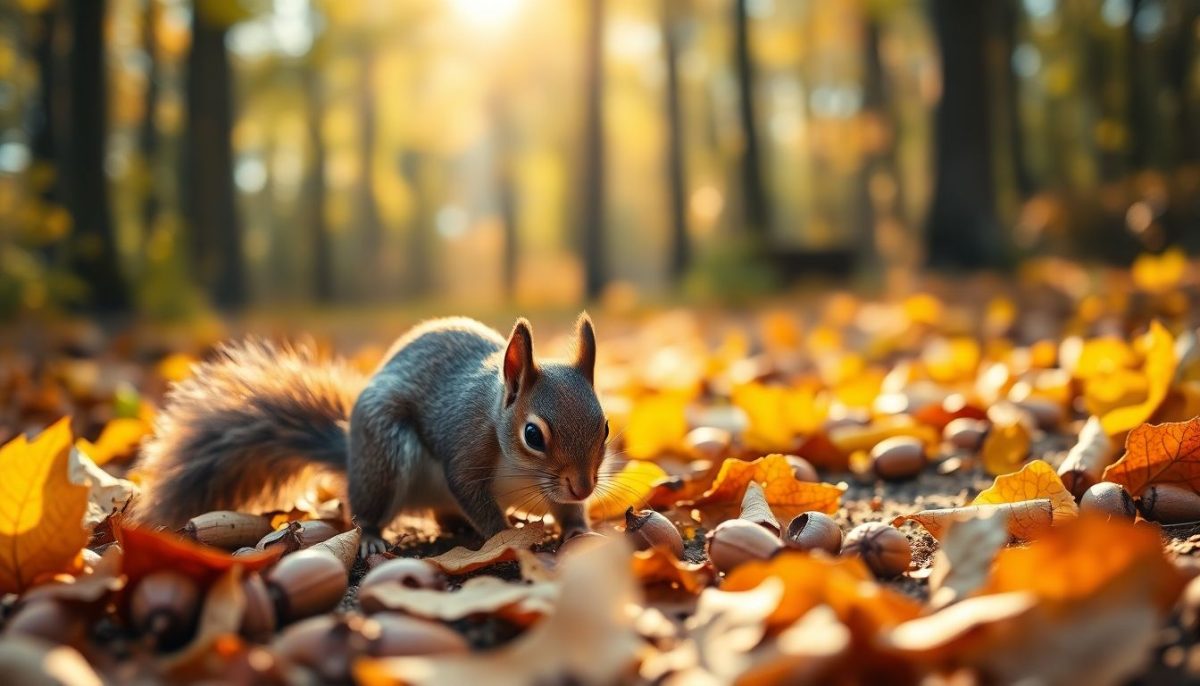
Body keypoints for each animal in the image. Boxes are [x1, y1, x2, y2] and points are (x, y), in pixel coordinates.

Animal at [134, 314, 609, 556]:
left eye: (605, 427)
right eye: (533, 434)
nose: (584, 486)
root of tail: (351, 453)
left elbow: (565, 510)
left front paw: (579, 531)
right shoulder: (465, 445)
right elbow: (474, 496)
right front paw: (504, 533)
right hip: (384, 454)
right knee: (367, 511)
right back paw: (374, 538)